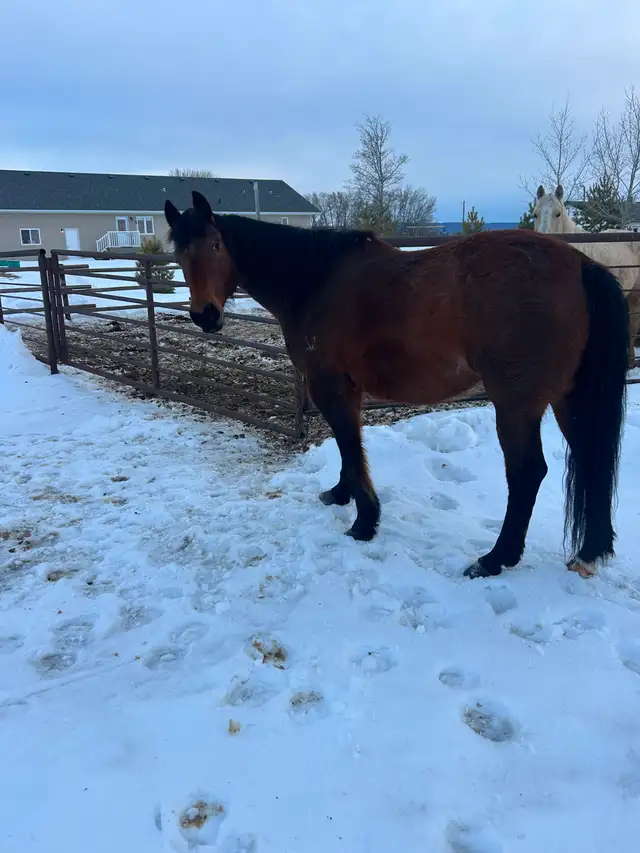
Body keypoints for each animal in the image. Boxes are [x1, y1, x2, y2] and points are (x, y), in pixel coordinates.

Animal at [164, 190, 629, 580]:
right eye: (180, 252)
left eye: (216, 245)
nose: (206, 315)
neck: (315, 280)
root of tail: (580, 265)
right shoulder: (348, 388)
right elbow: (348, 445)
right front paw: (340, 494)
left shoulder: (328, 384)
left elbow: (350, 445)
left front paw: (364, 522)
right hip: (567, 398)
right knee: (590, 457)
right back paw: (590, 551)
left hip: (516, 404)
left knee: (528, 472)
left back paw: (495, 559)